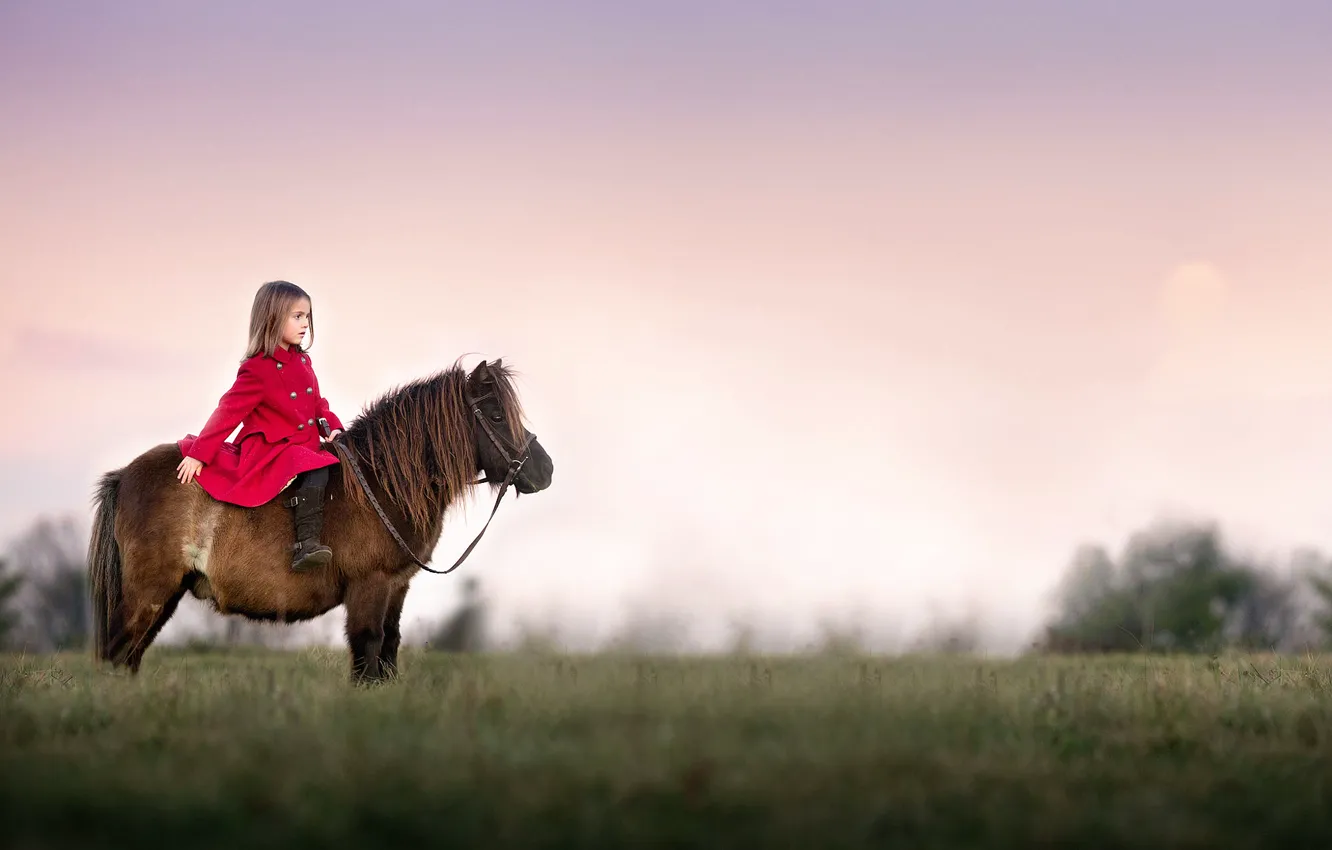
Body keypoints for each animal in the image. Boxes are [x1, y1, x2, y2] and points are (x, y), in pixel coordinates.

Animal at [86, 358, 554, 683]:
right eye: (496, 416)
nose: (545, 471)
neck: (383, 482)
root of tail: (125, 475)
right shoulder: (370, 585)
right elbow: (368, 650)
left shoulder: (397, 586)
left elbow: (389, 649)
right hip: (149, 590)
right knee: (120, 649)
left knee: (129, 655)